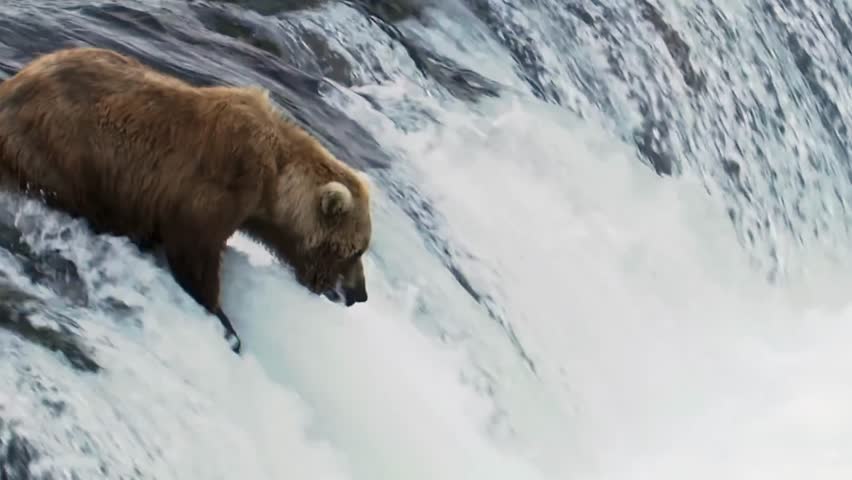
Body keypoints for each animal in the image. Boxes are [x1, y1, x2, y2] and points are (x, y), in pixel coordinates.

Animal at [0, 47, 373, 354]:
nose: (360, 295)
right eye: (355, 250)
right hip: (60, 150)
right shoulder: (217, 184)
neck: (274, 184)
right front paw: (225, 322)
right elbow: (195, 254)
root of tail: (16, 81)